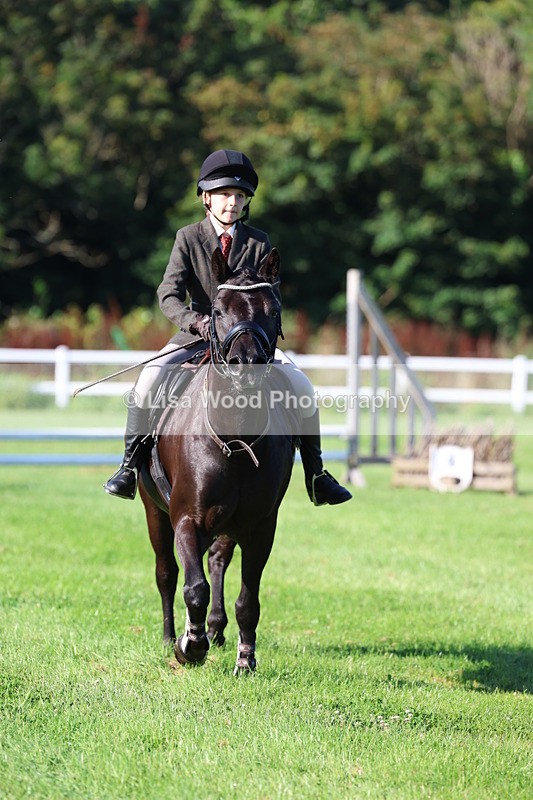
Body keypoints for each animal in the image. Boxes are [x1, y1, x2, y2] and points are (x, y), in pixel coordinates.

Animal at [139, 247, 296, 674]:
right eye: (219, 310)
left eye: (273, 309)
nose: (247, 364)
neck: (235, 434)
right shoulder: (186, 518)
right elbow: (193, 587)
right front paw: (189, 646)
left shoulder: (261, 527)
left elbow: (248, 601)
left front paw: (245, 659)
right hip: (153, 509)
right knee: (167, 572)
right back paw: (171, 635)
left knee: (218, 559)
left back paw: (217, 628)